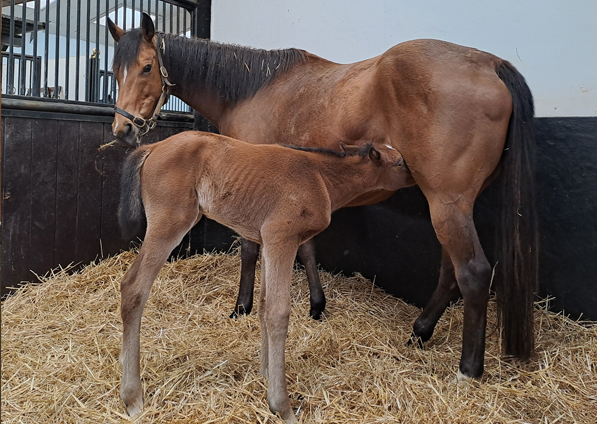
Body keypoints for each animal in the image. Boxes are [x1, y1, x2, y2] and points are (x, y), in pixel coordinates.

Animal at [117, 132, 414, 420]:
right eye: (400, 163)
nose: (415, 177)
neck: (322, 178)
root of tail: (153, 147)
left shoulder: (268, 242)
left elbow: (263, 307)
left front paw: (266, 374)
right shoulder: (281, 237)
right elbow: (278, 312)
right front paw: (281, 404)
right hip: (170, 222)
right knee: (133, 287)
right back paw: (132, 397)